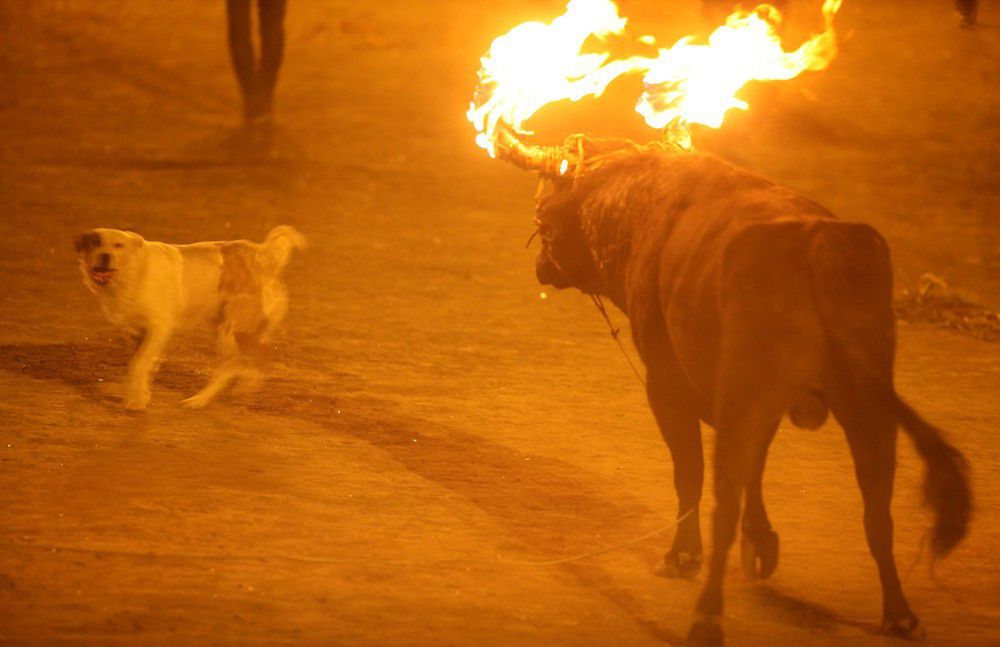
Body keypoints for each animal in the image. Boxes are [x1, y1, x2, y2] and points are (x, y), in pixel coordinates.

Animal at [75, 227, 304, 410]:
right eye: (96, 242)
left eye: (118, 245)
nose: (105, 255)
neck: (133, 273)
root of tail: (262, 255)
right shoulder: (135, 333)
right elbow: (139, 364)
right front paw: (139, 394)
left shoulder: (160, 327)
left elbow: (138, 364)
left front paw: (137, 400)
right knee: (261, 355)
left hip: (233, 330)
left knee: (235, 363)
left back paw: (201, 399)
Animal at [498, 126, 968, 644]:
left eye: (545, 208)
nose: (541, 265)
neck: (638, 204)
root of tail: (817, 245)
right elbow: (754, 468)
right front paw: (760, 543)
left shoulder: (668, 383)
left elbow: (691, 472)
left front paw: (684, 556)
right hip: (867, 409)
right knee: (877, 511)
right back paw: (899, 613)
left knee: (724, 502)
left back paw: (706, 618)